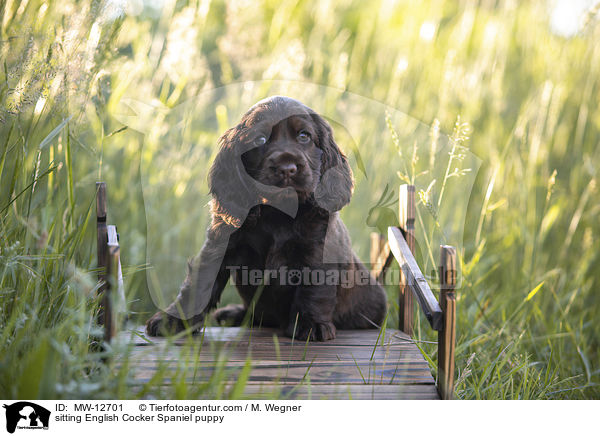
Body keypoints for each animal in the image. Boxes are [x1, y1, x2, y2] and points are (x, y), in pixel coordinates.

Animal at [148, 95, 386, 340]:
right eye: (260, 139)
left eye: (304, 136)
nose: (287, 168)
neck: (278, 214)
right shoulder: (220, 245)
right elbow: (200, 282)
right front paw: (172, 322)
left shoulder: (317, 249)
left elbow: (314, 287)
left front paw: (311, 325)